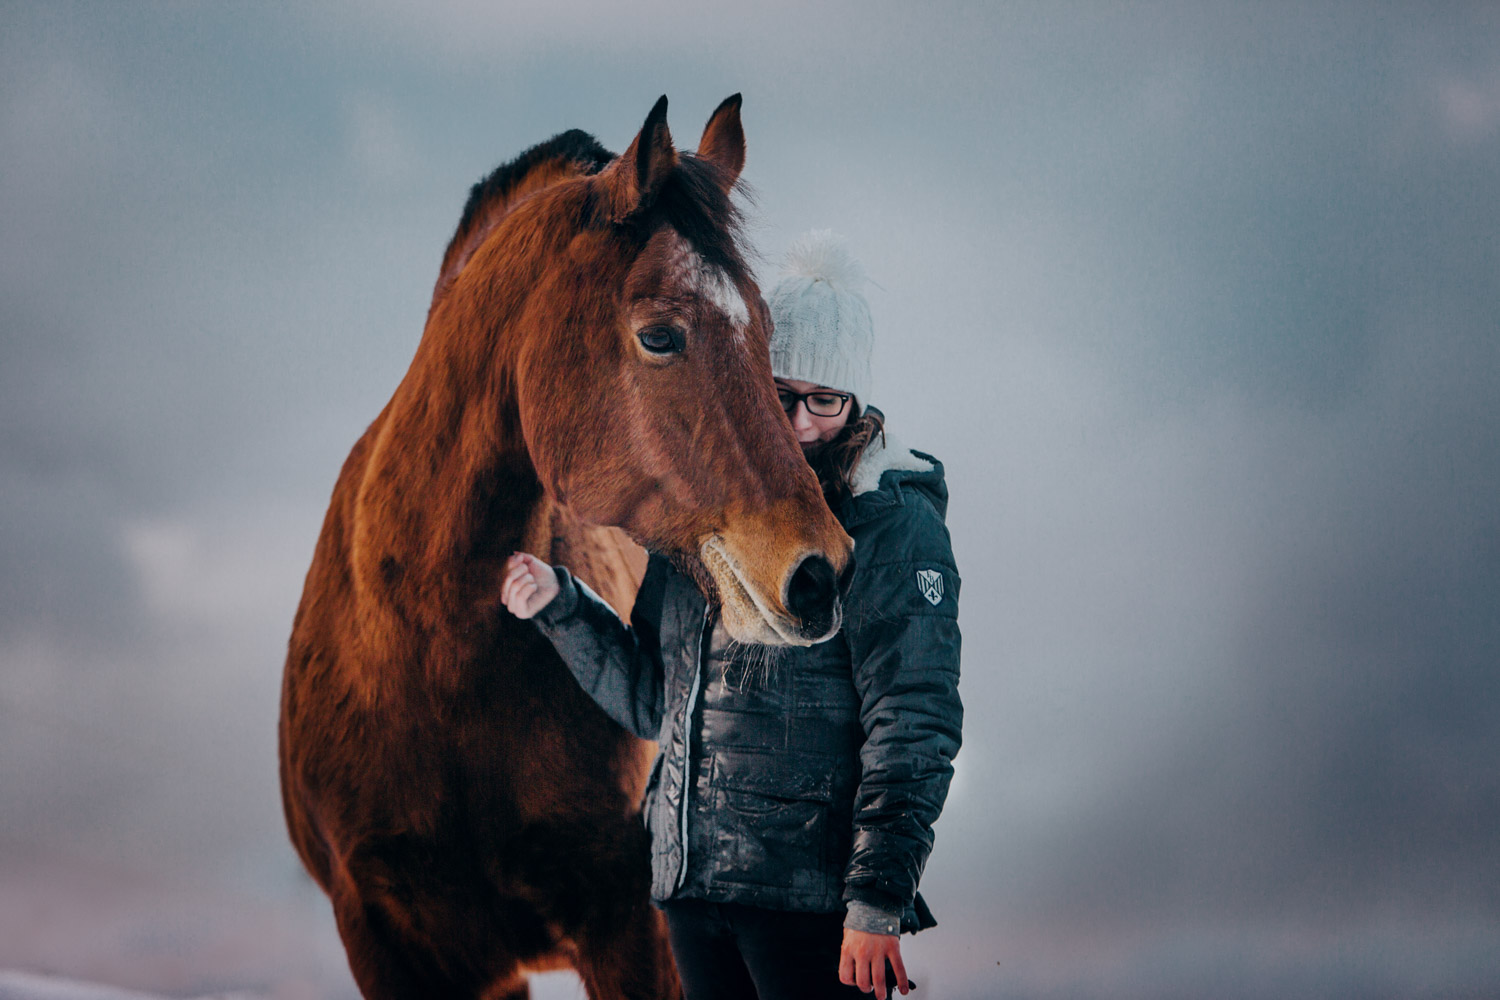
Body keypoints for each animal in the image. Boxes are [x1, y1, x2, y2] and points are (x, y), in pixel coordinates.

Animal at [276, 95, 852, 1000]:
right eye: (660, 335)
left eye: (765, 331)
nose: (818, 573)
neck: (434, 665)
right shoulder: (388, 943)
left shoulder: (634, 929)